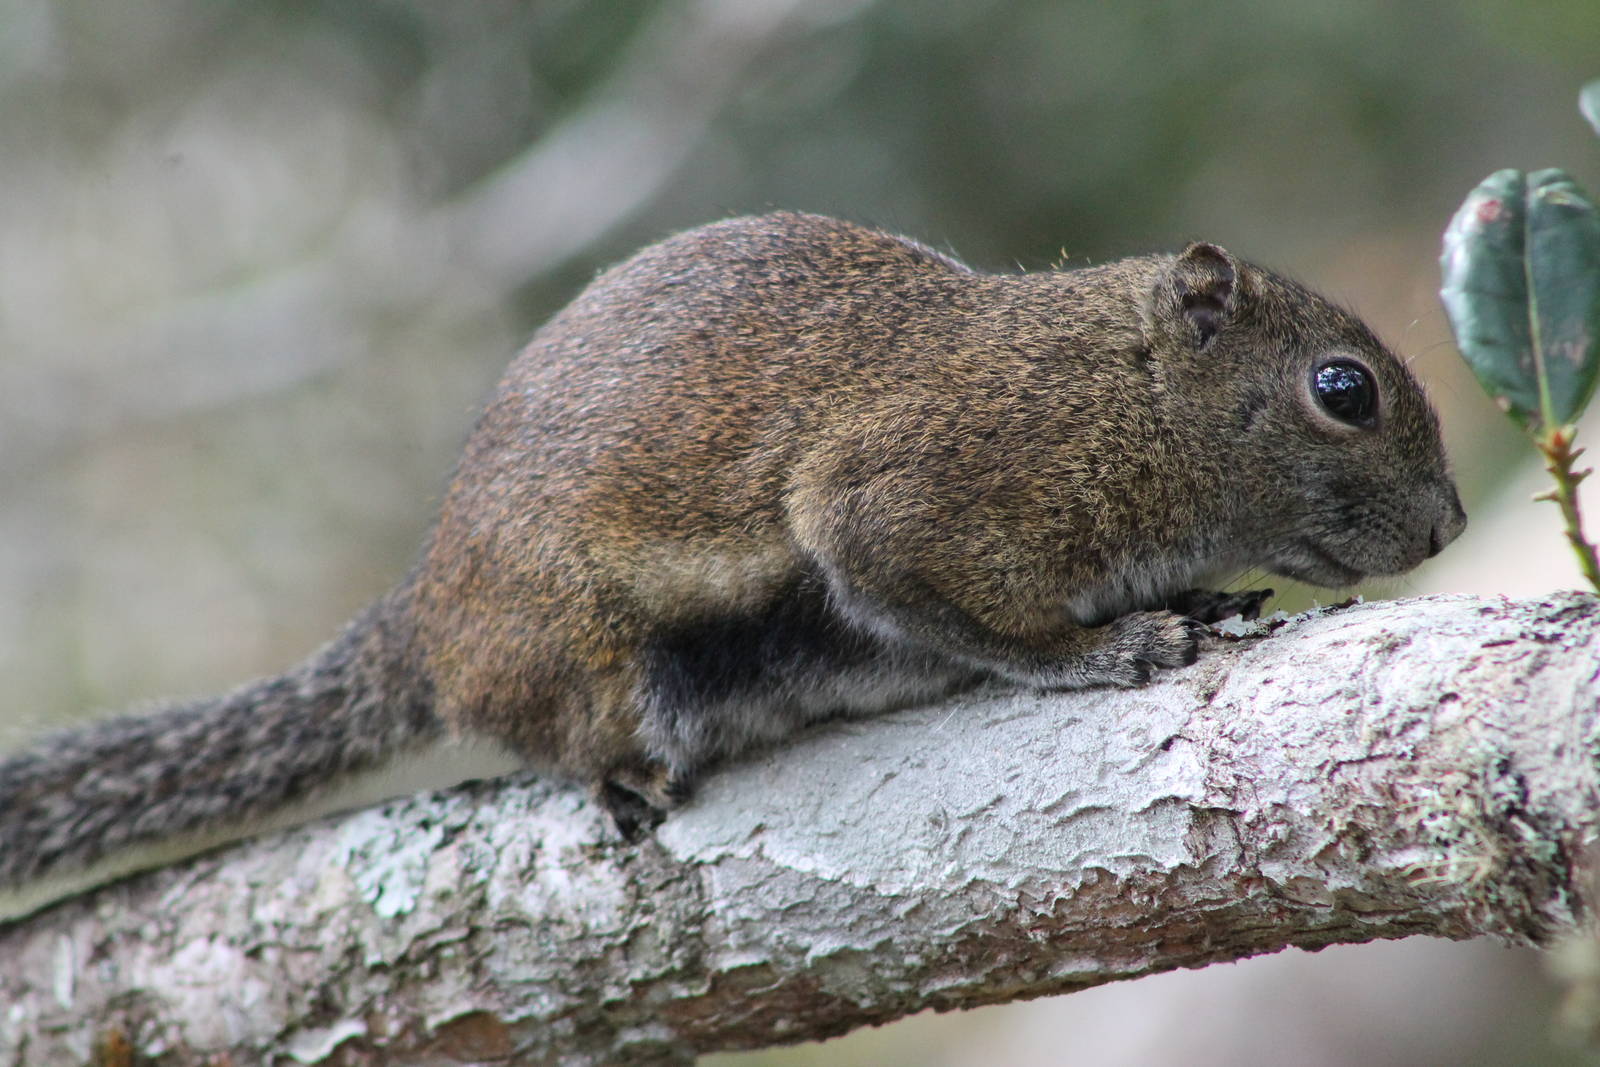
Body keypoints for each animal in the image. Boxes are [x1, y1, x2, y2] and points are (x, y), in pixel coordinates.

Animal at [0, 211, 1465, 921]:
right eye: (1343, 388)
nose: (1450, 526)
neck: (1114, 391)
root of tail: (425, 614)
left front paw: (1193, 596)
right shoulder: (903, 495)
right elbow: (953, 611)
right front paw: (1101, 648)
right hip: (585, 659)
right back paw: (620, 775)